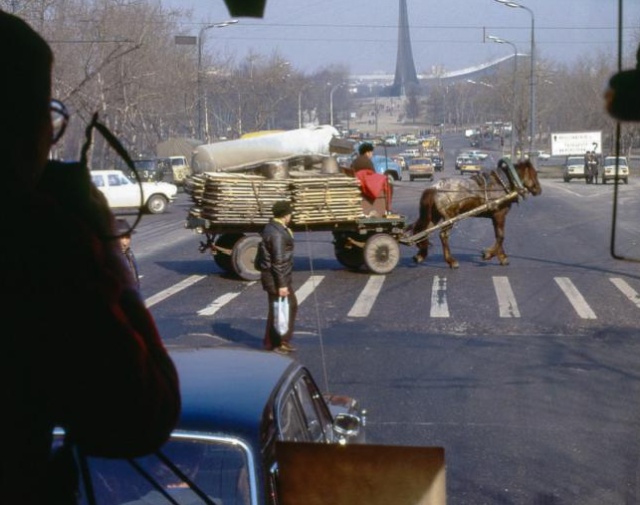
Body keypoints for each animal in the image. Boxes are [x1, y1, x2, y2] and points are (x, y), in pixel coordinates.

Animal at [408, 158, 544, 268]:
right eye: (534, 174)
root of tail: (435, 187)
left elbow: (498, 235)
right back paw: (451, 261)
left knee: (425, 231)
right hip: (449, 217)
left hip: (434, 215)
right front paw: (488, 254)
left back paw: (421, 255)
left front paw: (502, 257)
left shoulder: (495, 217)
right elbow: (501, 236)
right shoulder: (499, 214)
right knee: (443, 235)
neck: (501, 183)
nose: (539, 190)